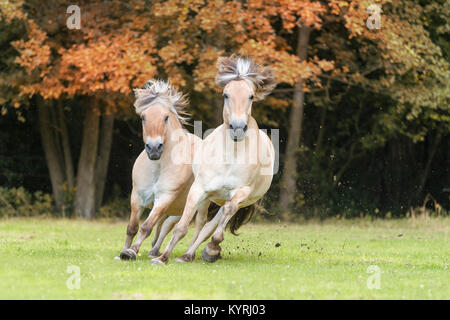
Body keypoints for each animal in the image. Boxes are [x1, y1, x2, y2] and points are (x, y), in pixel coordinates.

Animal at [118, 79, 212, 260]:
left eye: (166, 117)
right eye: (143, 117)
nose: (154, 148)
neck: (158, 166)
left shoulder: (164, 198)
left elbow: (146, 226)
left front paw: (132, 251)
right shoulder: (137, 197)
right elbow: (132, 227)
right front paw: (123, 252)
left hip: (199, 204)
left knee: (199, 225)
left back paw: (188, 254)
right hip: (178, 208)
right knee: (165, 224)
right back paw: (155, 250)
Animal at [151, 55, 276, 264]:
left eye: (251, 96)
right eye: (226, 95)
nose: (237, 127)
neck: (230, 157)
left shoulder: (240, 193)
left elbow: (218, 224)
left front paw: (212, 248)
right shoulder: (198, 189)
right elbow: (181, 227)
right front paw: (162, 258)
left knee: (209, 227)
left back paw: (194, 253)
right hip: (207, 198)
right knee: (197, 222)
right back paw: (182, 254)